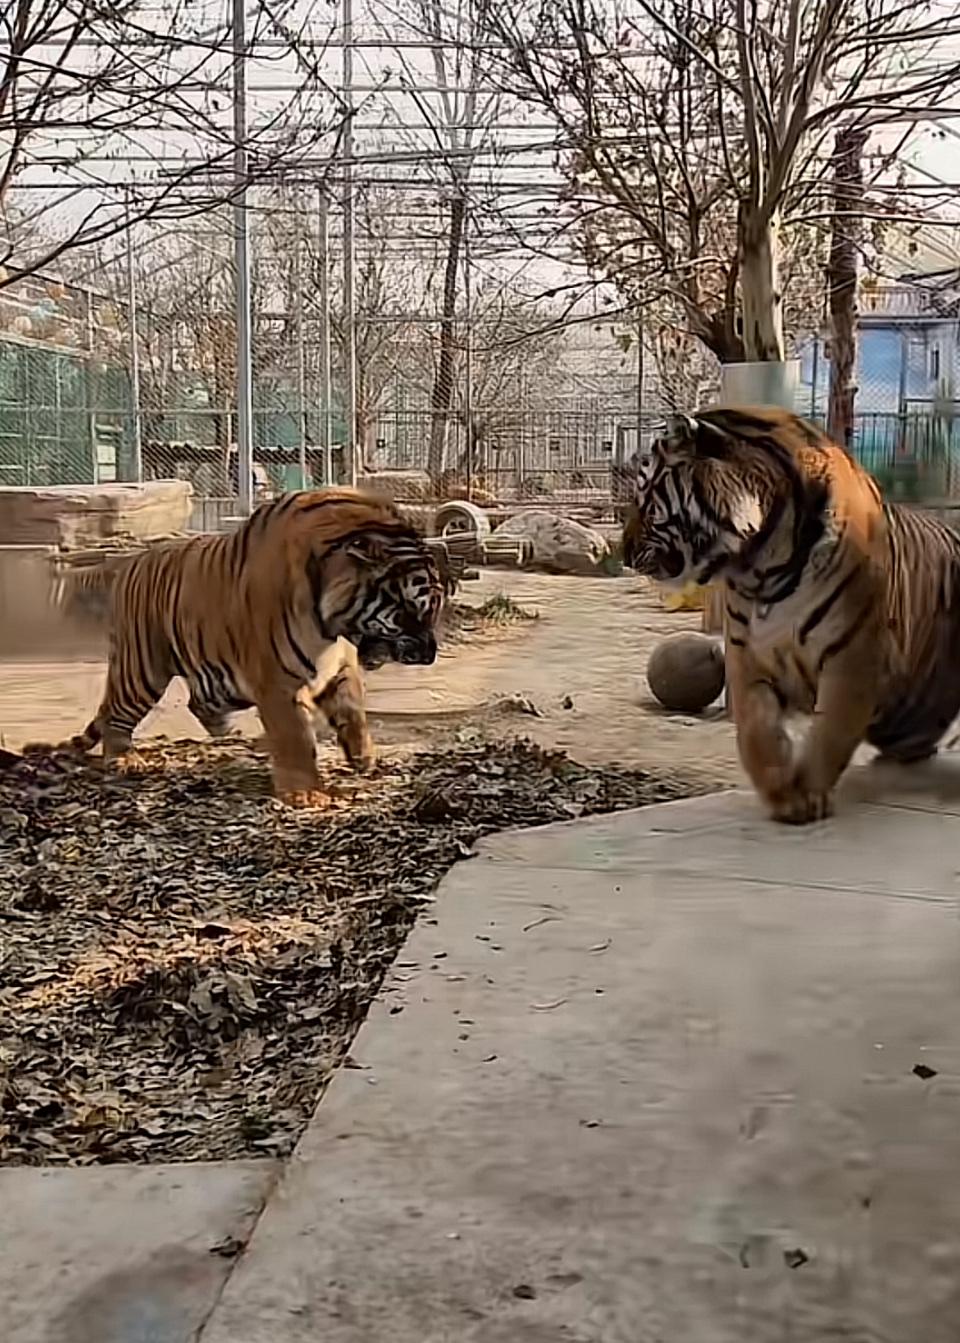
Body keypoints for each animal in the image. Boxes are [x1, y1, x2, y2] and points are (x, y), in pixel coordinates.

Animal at [66, 487, 443, 807]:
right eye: (413, 610)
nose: (430, 655)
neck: (334, 626)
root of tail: (130, 563)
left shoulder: (339, 666)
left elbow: (353, 712)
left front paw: (366, 759)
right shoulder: (278, 680)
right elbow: (295, 736)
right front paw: (306, 794)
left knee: (196, 701)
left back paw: (227, 732)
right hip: (142, 669)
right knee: (116, 716)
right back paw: (124, 760)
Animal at [621, 405, 960, 824]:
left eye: (647, 498)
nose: (623, 552)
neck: (763, 563)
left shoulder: (853, 654)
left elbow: (831, 730)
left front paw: (808, 796)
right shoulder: (746, 654)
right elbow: (756, 729)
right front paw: (781, 793)